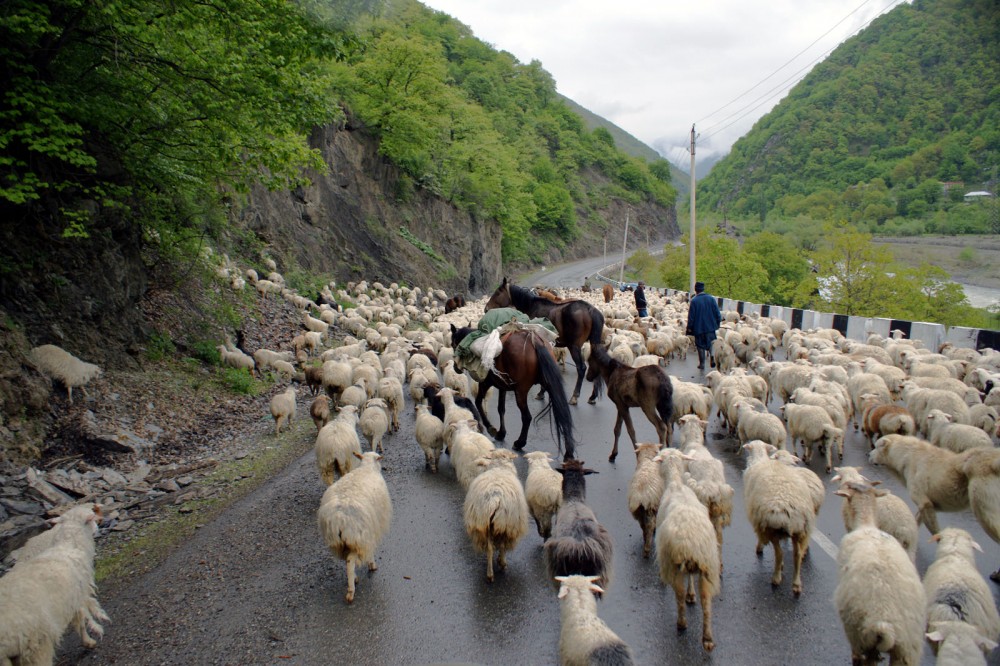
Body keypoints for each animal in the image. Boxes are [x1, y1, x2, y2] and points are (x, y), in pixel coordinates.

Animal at [316, 452, 390, 600]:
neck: (367, 467)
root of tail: (339, 518)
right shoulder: (370, 530)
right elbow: (370, 551)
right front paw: (372, 564)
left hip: (340, 543)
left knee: (346, 559)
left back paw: (354, 580)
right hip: (356, 538)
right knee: (350, 561)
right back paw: (351, 590)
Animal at [450, 324, 576, 460]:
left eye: (453, 344)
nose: (455, 368)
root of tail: (535, 341)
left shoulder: (485, 383)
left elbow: (478, 402)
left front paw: (491, 428)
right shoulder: (502, 386)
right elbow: (501, 408)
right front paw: (501, 433)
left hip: (521, 391)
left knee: (527, 417)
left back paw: (520, 443)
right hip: (548, 383)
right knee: (562, 413)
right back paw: (569, 452)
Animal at [462, 446, 532, 580]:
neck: (500, 467)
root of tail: (495, 499)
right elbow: (502, 546)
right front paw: (501, 561)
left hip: (485, 523)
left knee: (490, 549)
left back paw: (490, 574)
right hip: (505, 523)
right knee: (502, 545)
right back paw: (502, 563)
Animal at [482, 276, 600, 404]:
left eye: (498, 292)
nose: (486, 309)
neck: (531, 305)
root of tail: (590, 309)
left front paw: (541, 392)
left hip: (574, 347)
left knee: (581, 368)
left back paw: (575, 396)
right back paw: (592, 397)